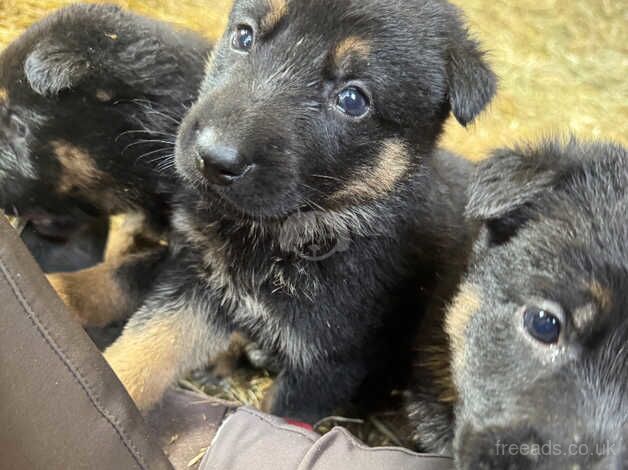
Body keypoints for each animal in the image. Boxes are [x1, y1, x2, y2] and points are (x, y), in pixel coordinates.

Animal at [77, 0, 496, 422]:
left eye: (353, 99)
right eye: (244, 36)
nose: (212, 159)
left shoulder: (330, 365)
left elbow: (276, 416)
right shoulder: (201, 286)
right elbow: (144, 349)